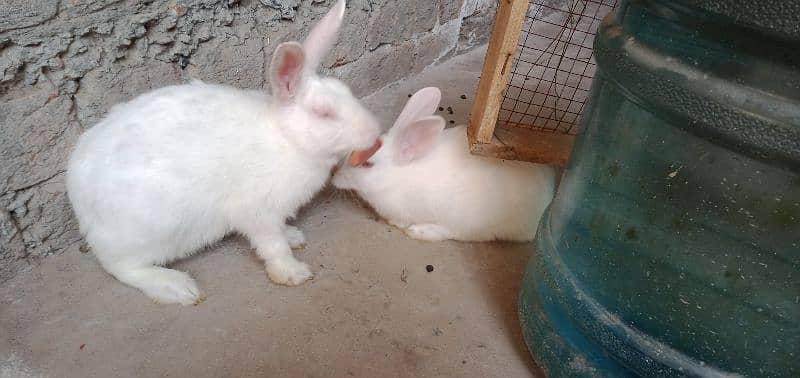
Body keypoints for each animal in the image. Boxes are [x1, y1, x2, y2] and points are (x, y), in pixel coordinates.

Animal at [65, 0, 378, 306]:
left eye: (346, 91)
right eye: (324, 113)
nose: (373, 135)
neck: (287, 139)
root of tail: (77, 198)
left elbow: (280, 234)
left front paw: (293, 235)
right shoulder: (257, 212)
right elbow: (272, 246)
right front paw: (292, 273)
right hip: (146, 231)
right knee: (122, 267)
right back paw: (177, 288)